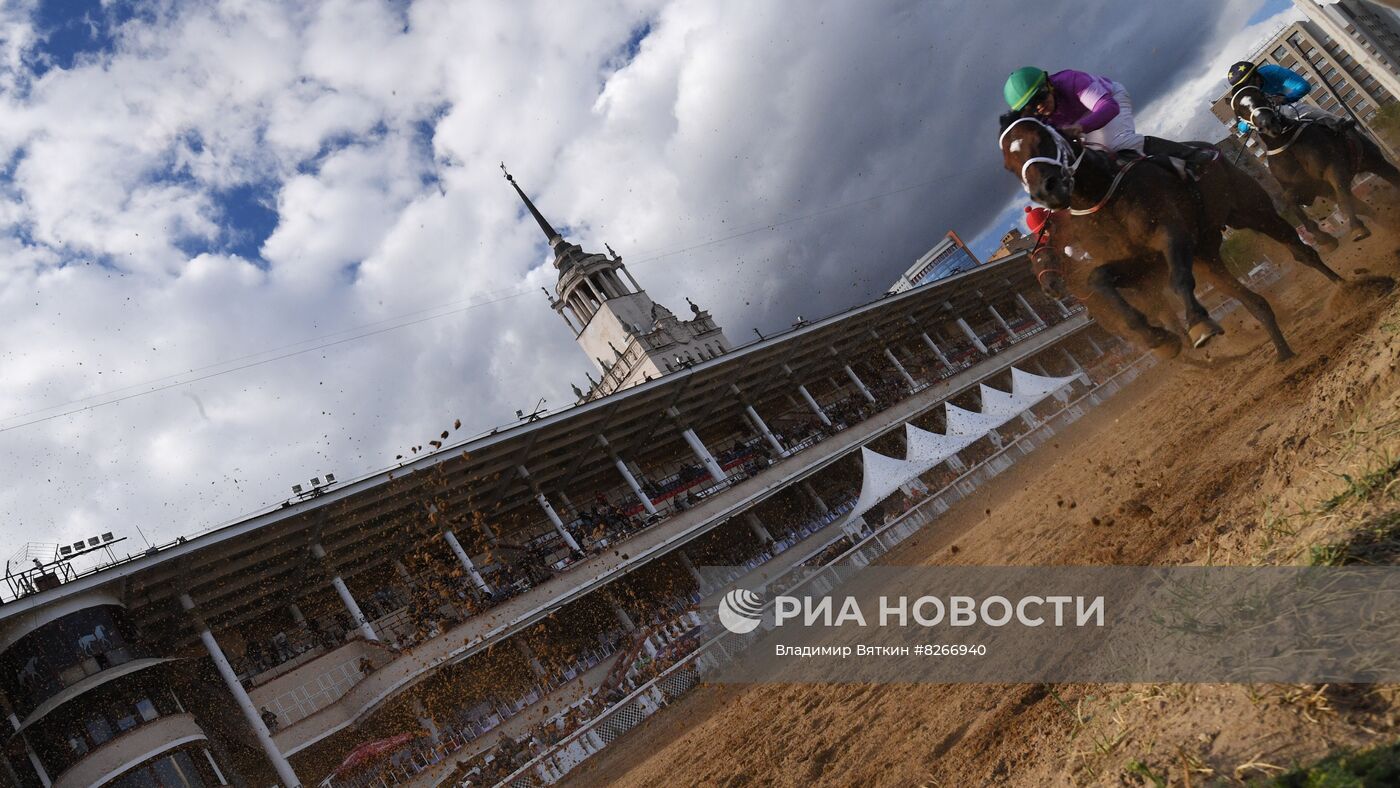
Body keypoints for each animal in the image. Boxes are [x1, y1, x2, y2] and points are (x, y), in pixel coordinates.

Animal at [996, 114, 1344, 363]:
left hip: (1251, 210)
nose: (1046, 189)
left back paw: (1342, 277)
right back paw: (1283, 351)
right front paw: (1159, 340)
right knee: (1253, 301)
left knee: (1298, 247)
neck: (1104, 194)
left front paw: (1199, 326)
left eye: (1041, 138)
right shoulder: (1141, 263)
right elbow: (1100, 280)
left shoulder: (1171, 235)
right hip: (1207, 257)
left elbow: (1178, 280)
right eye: (1008, 164)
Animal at [1226, 84, 1400, 244]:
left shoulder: (1334, 167)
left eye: (1261, 95)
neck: (1288, 144)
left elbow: (1343, 199)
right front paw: (1324, 238)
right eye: (1239, 109)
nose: (1268, 123)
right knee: (1361, 206)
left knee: (1390, 176)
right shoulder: (1309, 189)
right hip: (1331, 190)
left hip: (1374, 161)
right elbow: (1289, 199)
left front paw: (1357, 229)